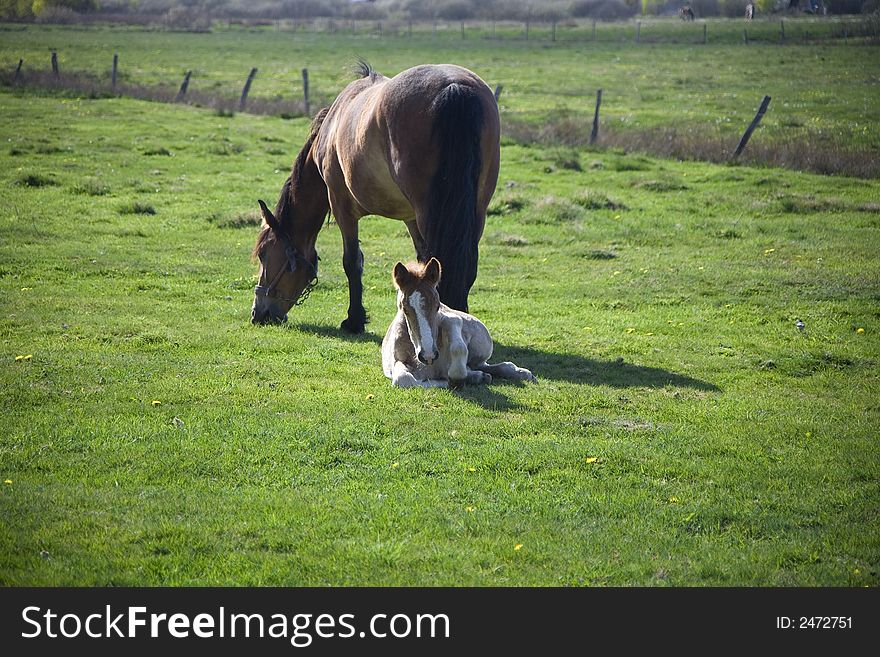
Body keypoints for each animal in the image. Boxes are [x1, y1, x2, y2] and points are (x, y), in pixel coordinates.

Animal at [254, 61, 502, 330]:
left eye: (263, 254)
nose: (259, 313)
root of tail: (452, 86)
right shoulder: (410, 218)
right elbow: (424, 263)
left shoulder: (342, 206)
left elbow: (352, 262)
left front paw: (354, 319)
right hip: (476, 211)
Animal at [380, 258, 536, 390]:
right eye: (404, 309)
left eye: (437, 306)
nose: (428, 355)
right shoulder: (396, 362)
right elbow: (404, 379)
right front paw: (455, 379)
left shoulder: (450, 320)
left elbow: (455, 335)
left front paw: (457, 377)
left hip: (481, 347)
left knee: (491, 365)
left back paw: (522, 373)